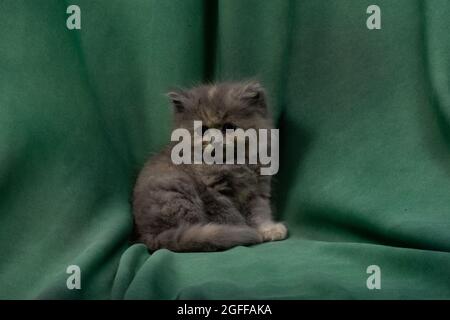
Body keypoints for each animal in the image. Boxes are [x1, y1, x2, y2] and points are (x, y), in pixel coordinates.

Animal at [133, 82, 288, 252]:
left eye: (228, 128)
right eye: (203, 130)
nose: (216, 140)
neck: (233, 163)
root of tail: (150, 237)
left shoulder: (257, 189)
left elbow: (260, 212)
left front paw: (268, 229)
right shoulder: (214, 192)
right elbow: (230, 216)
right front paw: (243, 230)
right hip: (179, 192)